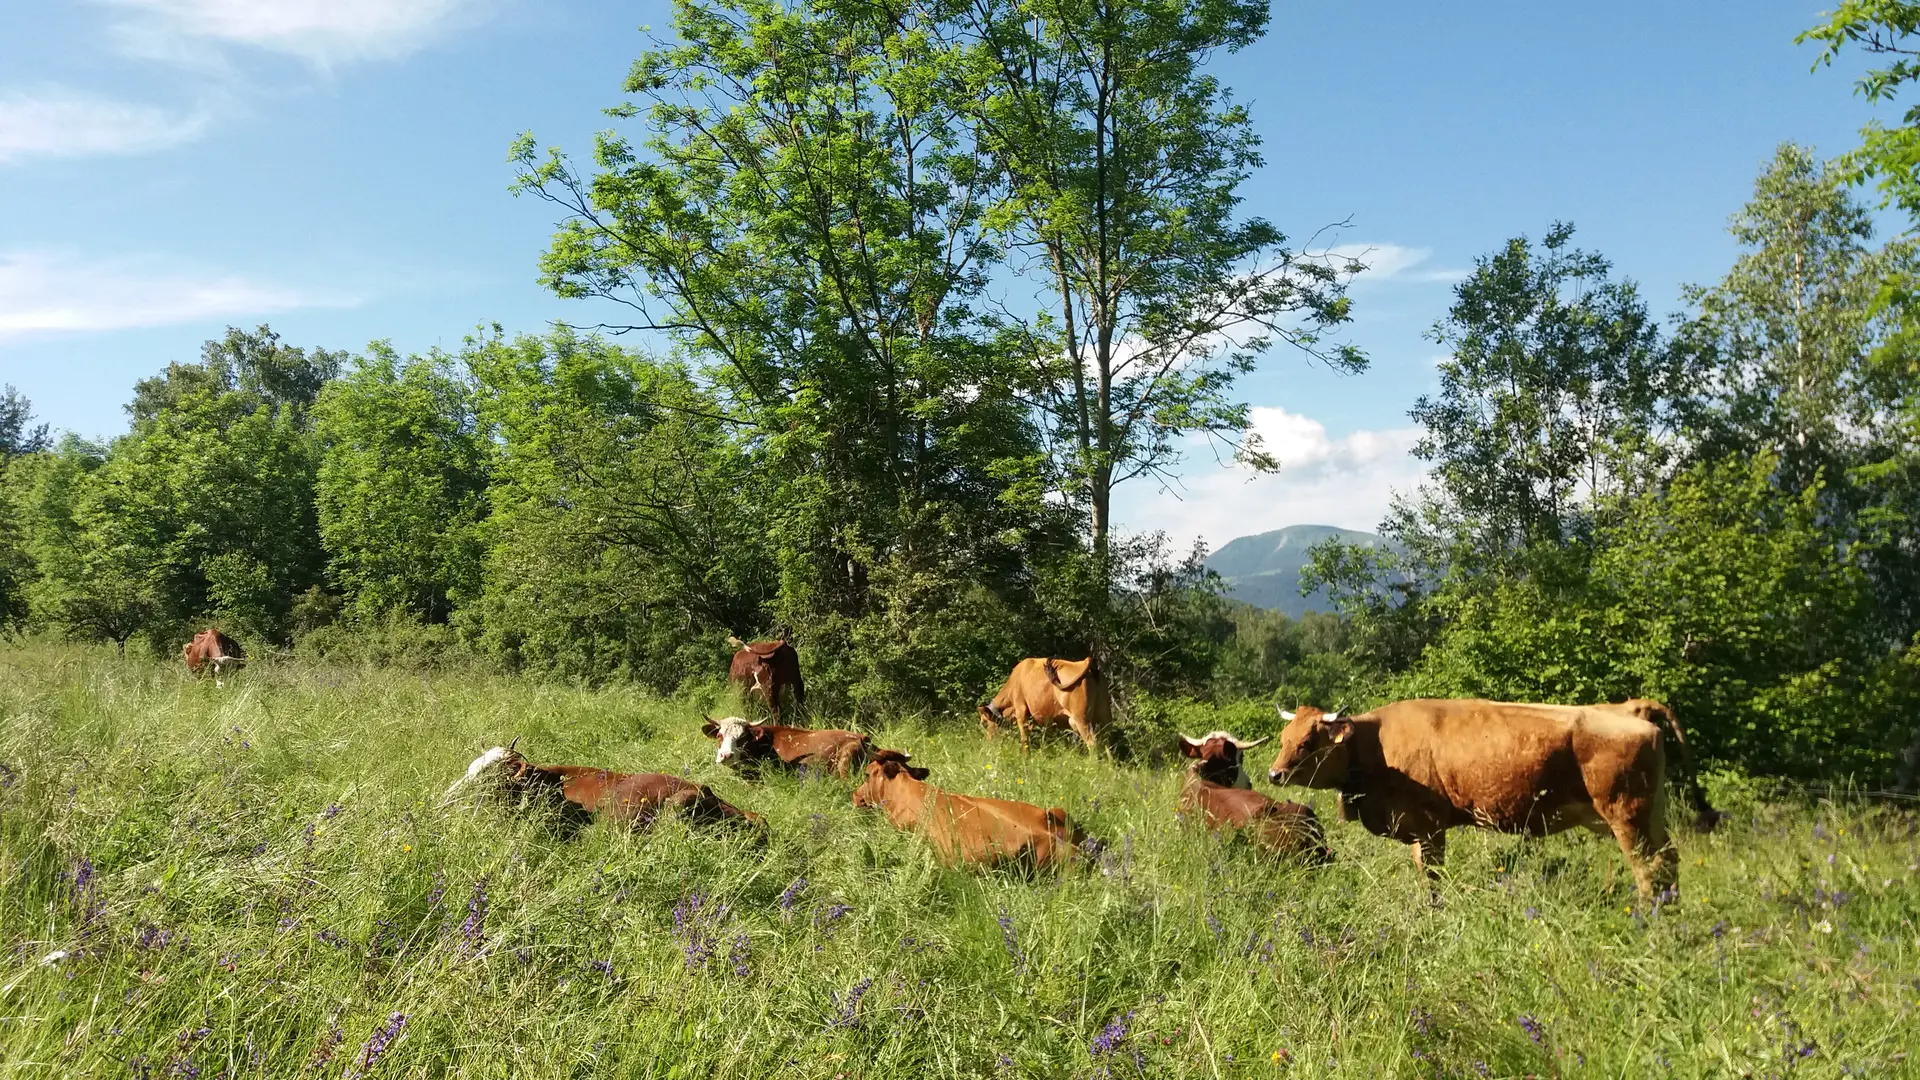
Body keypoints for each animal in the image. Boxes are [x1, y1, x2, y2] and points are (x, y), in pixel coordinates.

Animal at [975, 657, 1113, 749]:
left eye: (985, 723)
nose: (988, 742)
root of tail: (1086, 662)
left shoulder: (1021, 710)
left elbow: (1024, 739)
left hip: (1081, 718)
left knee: (1092, 743)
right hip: (1104, 714)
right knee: (1107, 741)